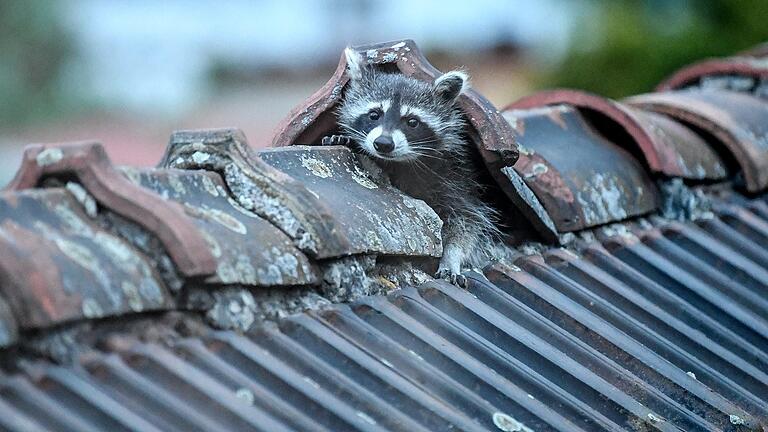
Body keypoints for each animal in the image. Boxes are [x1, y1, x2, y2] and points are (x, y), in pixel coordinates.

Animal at [332, 47, 508, 286]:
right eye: (374, 114)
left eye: (412, 122)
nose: (383, 143)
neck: (401, 161)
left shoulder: (458, 177)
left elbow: (466, 222)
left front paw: (451, 256)